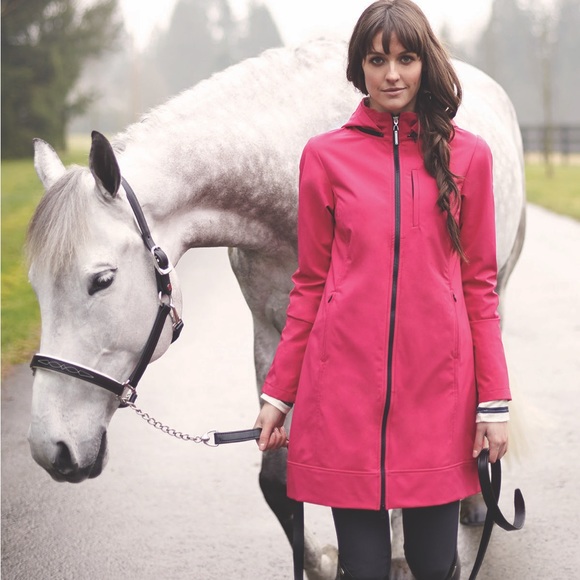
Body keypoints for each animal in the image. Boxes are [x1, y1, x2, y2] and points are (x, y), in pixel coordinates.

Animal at [27, 40, 525, 580]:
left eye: (101, 281)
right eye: (35, 286)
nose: (51, 450)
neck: (288, 174)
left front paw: (395, 557)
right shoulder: (273, 333)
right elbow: (277, 480)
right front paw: (325, 562)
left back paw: (473, 502)